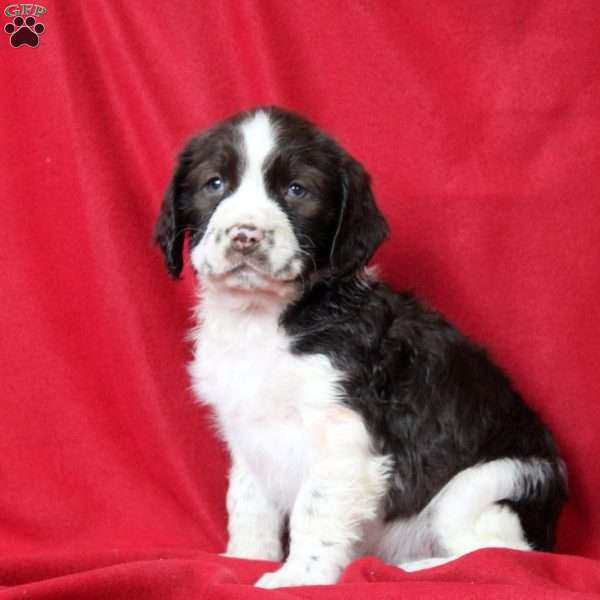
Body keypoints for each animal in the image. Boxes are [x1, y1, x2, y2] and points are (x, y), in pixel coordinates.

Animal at [155, 105, 568, 588]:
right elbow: (247, 503)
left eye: (298, 190)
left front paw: (298, 577)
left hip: (487, 482)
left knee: (505, 555)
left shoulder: (343, 434)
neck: (267, 319)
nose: (244, 235)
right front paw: (242, 560)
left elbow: (314, 508)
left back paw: (416, 568)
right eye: (214, 184)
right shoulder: (248, 433)